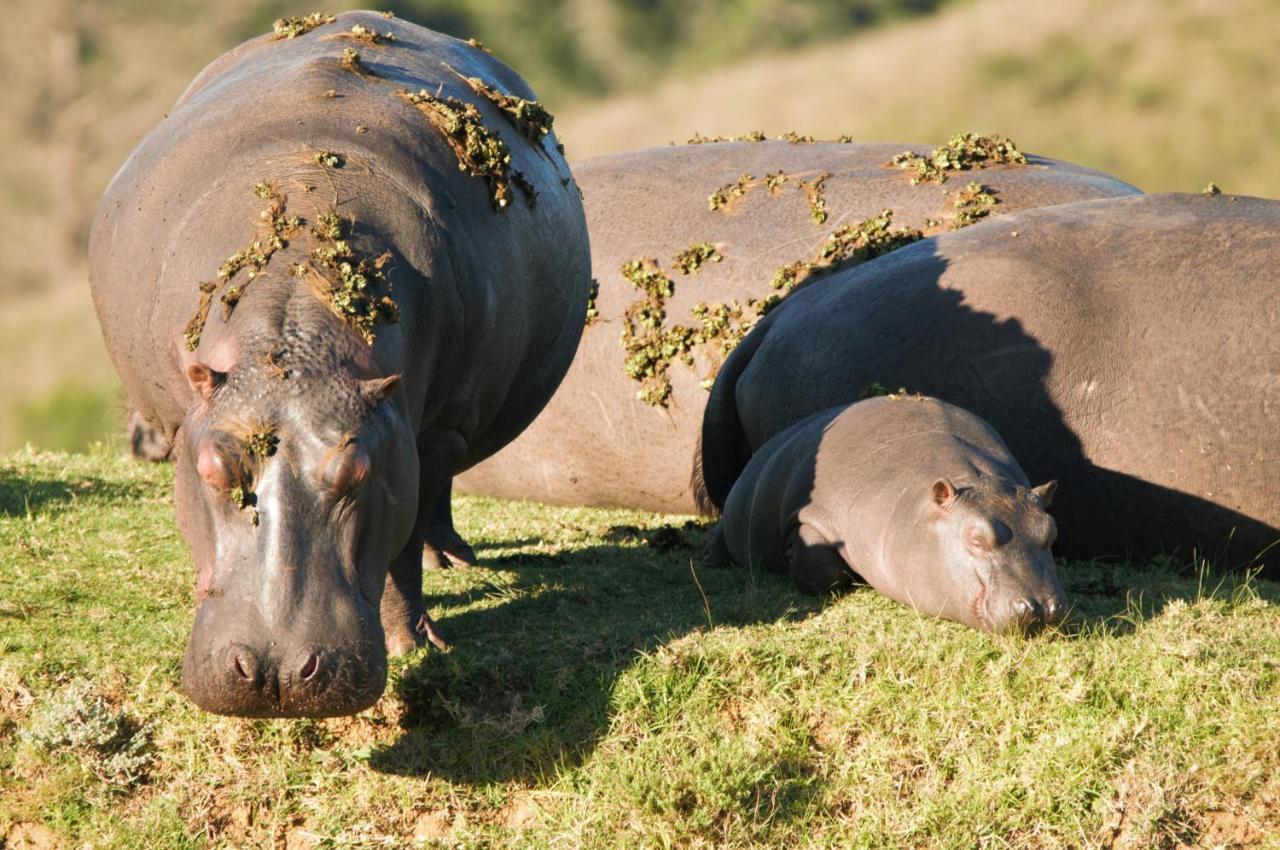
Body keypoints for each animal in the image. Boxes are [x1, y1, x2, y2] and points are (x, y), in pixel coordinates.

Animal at [90, 14, 588, 716]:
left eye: (357, 471)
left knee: (435, 504)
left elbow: (403, 540)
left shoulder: (429, 434)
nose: (273, 671)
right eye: (212, 467)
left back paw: (452, 561)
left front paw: (416, 645)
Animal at [706, 396, 1064, 629]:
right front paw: (793, 557)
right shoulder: (818, 517)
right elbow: (821, 566)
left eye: (1050, 530)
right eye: (977, 537)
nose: (1041, 607)